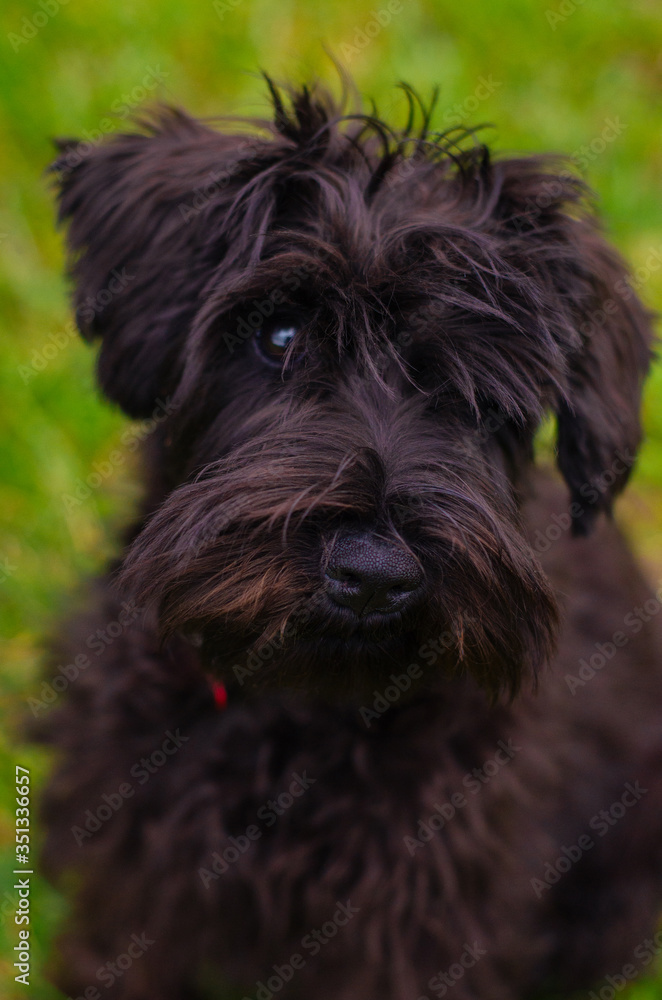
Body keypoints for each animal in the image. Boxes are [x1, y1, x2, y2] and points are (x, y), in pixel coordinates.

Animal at [40, 80, 662, 1000]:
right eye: (281, 335)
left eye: (488, 399)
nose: (373, 576)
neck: (298, 717)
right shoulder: (136, 872)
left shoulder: (417, 926)